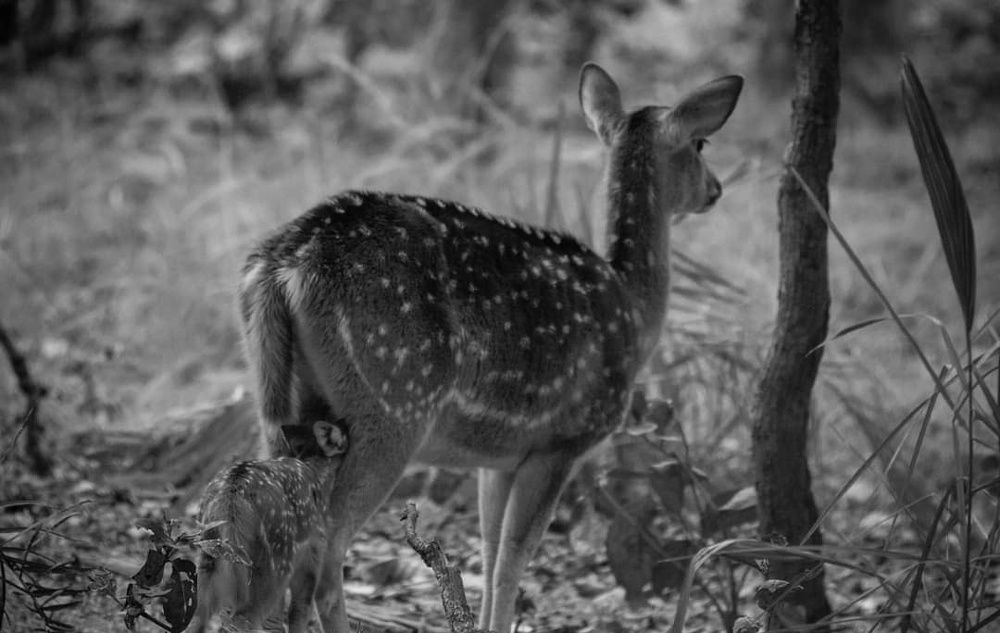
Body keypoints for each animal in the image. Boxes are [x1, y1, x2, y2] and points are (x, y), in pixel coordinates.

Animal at [193, 420, 348, 633]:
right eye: (338, 433)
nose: (345, 424)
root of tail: (232, 495)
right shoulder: (314, 553)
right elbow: (299, 611)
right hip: (276, 563)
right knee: (243, 620)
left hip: (208, 560)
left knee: (198, 617)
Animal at [236, 62, 742, 633]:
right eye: (701, 143)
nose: (716, 189)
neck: (633, 307)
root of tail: (281, 264)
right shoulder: (562, 440)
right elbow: (513, 559)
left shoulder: (497, 456)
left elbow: (489, 545)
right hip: (391, 402)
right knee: (326, 555)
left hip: (276, 401)